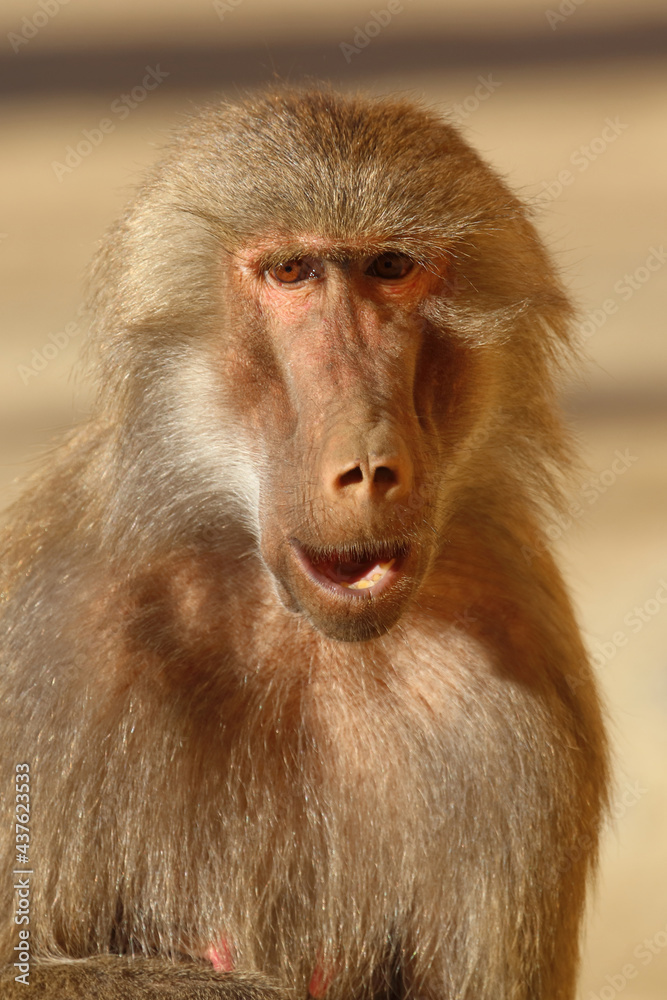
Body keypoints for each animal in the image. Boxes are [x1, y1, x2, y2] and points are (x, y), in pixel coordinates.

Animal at [0, 87, 608, 1000]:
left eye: (389, 267)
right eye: (292, 272)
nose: (370, 466)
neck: (295, 630)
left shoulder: (518, 665)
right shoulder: (47, 639)